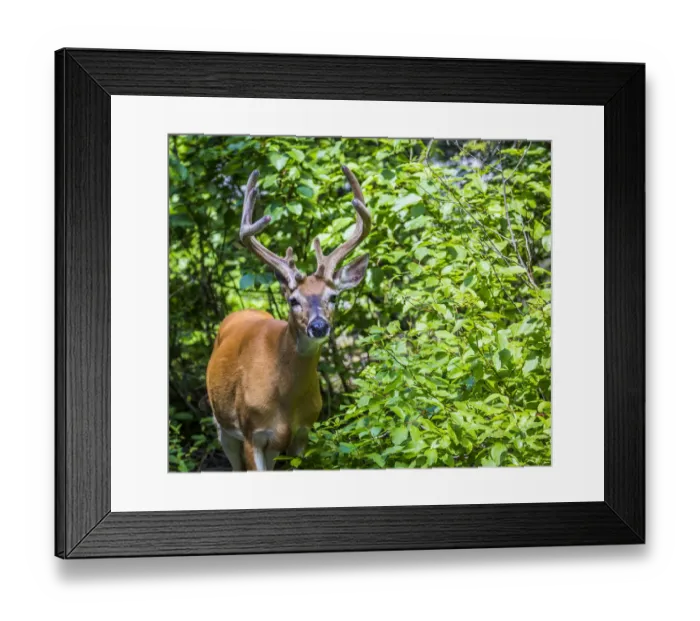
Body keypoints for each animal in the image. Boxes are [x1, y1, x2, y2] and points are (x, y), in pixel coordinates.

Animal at [206, 165, 371, 471]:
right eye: (294, 300)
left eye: (334, 297)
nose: (319, 326)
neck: (285, 400)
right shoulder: (252, 434)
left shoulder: (302, 434)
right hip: (223, 426)